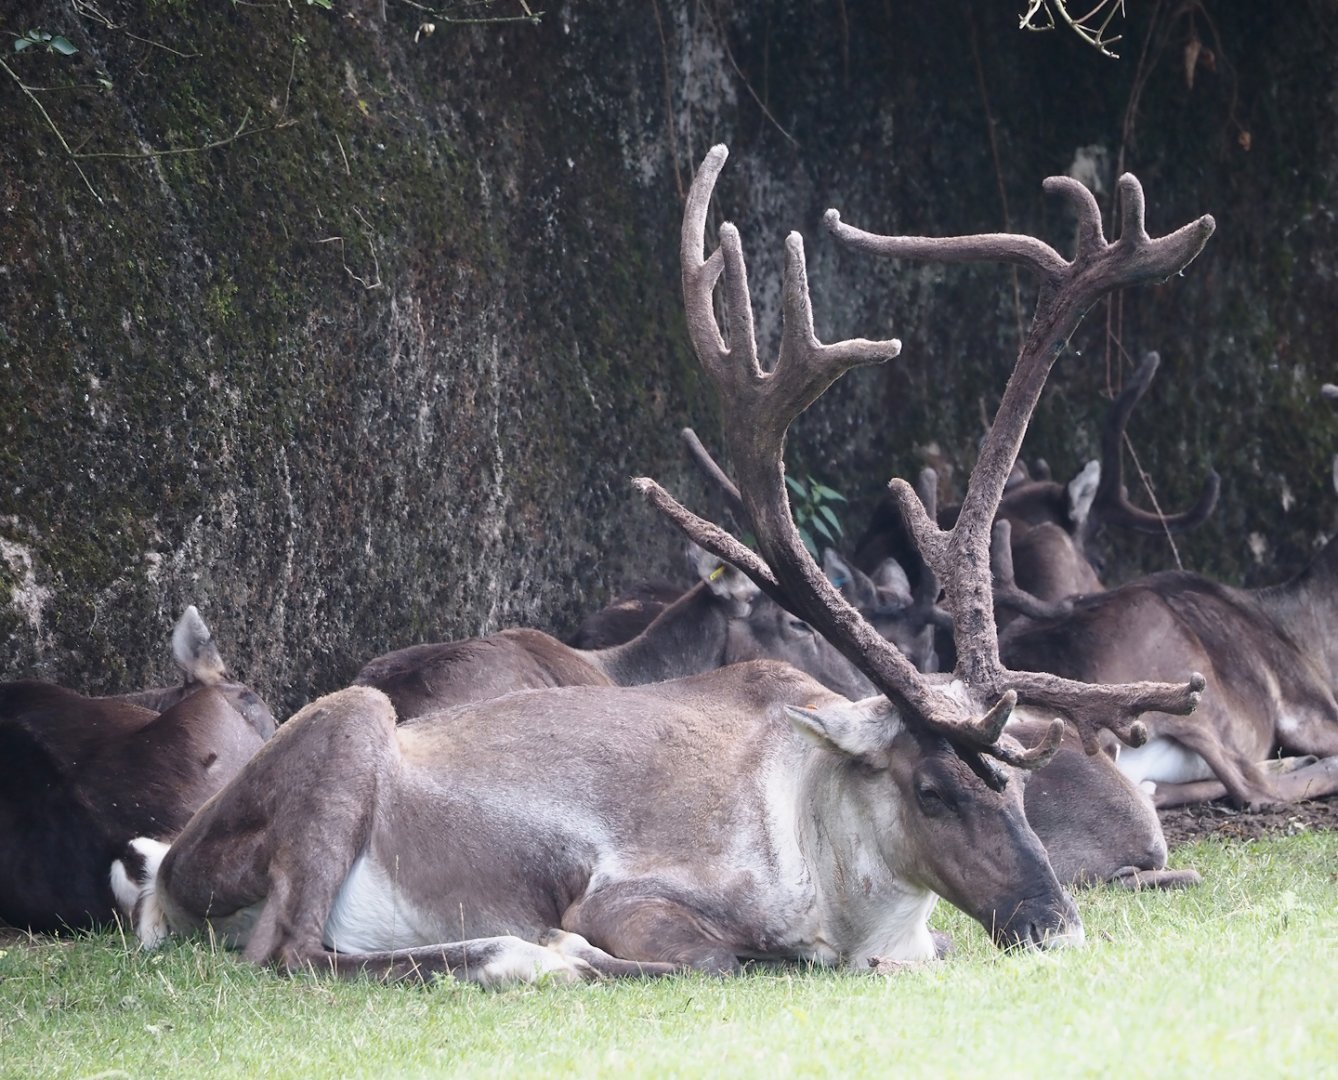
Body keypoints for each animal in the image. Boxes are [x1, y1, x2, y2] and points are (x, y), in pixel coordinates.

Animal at [110, 145, 1210, 985]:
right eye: (930, 789)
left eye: (1017, 784)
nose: (1053, 923)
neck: (853, 905)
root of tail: (159, 876)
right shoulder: (634, 892)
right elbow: (720, 955)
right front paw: (581, 949)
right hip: (347, 732)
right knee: (288, 950)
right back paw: (520, 955)